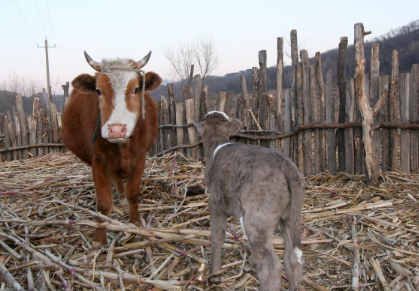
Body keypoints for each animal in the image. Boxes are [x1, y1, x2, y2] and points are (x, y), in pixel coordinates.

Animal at [62, 51, 162, 248]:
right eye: (99, 91)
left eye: (136, 89)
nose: (116, 129)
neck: (123, 147)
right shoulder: (98, 161)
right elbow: (103, 203)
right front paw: (99, 238)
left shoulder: (140, 157)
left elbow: (133, 194)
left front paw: (135, 224)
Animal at [197, 112, 306, 291]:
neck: (217, 143)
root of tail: (285, 164)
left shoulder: (215, 202)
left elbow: (216, 237)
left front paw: (215, 277)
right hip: (290, 216)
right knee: (292, 260)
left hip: (257, 220)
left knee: (271, 267)